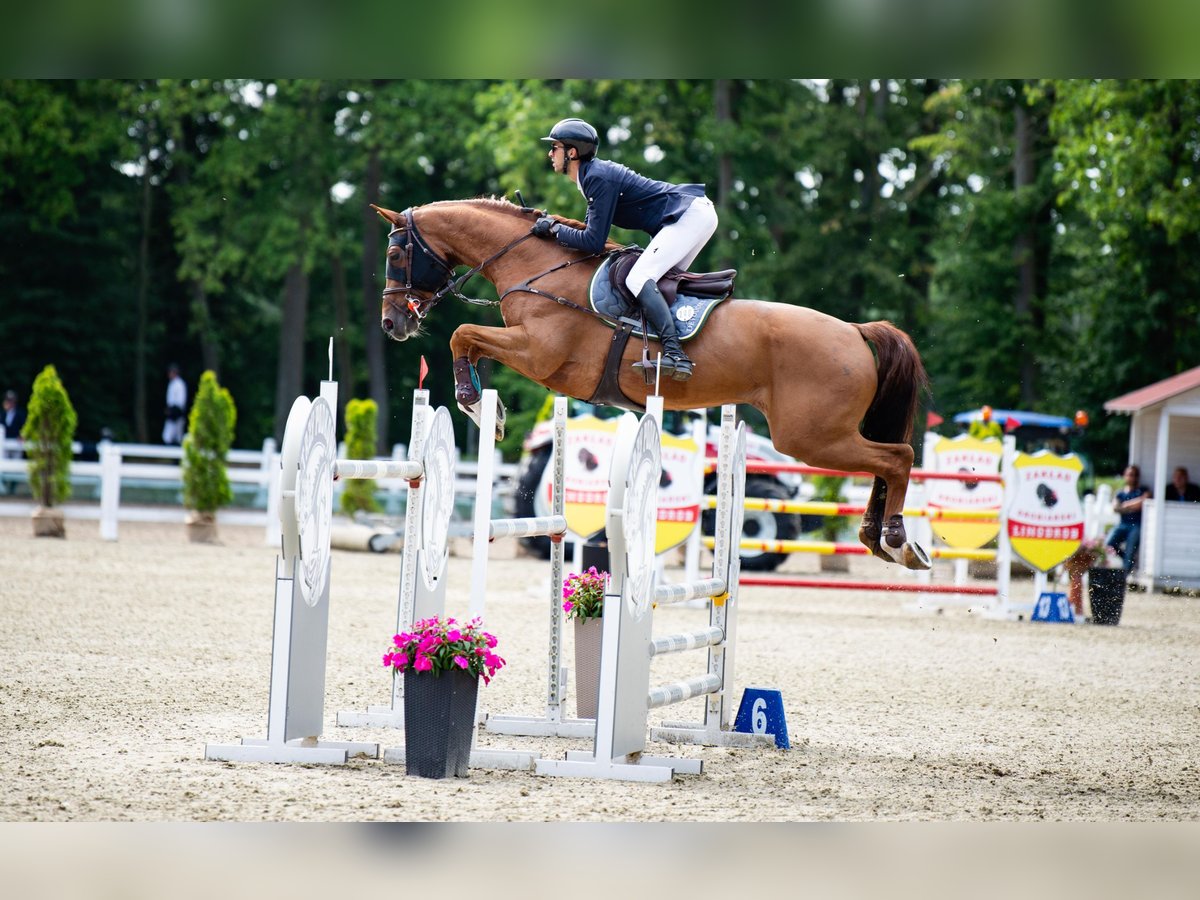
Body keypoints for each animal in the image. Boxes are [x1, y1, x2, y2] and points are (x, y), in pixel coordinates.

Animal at [371, 197, 931, 570]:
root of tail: (856, 331)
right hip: (815, 436)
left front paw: (474, 405)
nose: (392, 324)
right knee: (889, 460)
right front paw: (483, 407)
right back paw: (880, 538)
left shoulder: (540, 355)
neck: (537, 268)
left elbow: (463, 334)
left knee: (897, 458)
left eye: (396, 255)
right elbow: (465, 337)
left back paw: (896, 540)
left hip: (810, 437)